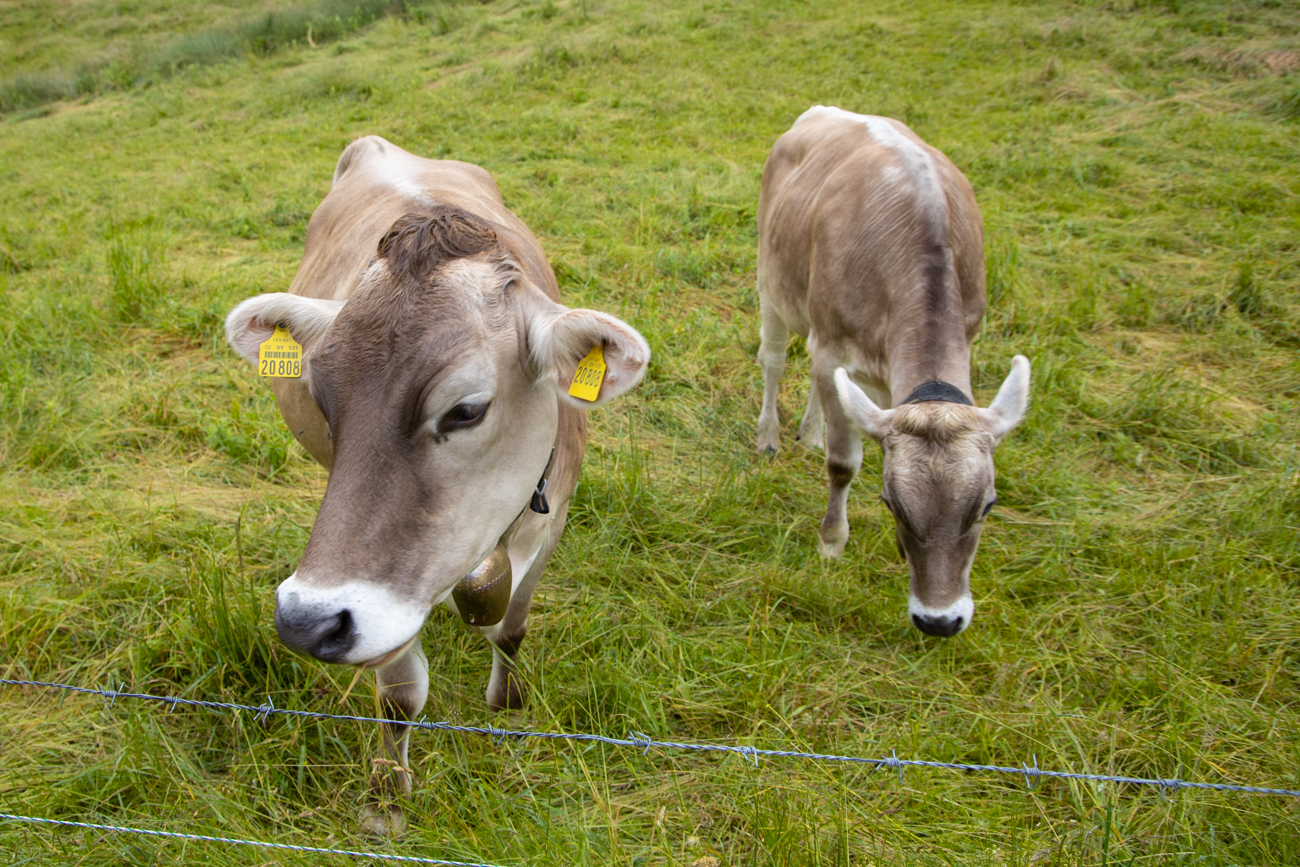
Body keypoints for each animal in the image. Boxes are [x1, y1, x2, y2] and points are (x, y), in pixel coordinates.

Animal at [227, 137, 650, 831]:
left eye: (467, 410)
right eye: (320, 398)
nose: (305, 622)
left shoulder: (553, 518)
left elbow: (512, 627)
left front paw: (507, 705)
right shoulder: (388, 601)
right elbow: (400, 694)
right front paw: (386, 800)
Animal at [759, 106, 1029, 636]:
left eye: (987, 505)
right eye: (891, 502)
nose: (940, 620)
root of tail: (827, 110)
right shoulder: (833, 349)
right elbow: (844, 464)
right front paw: (831, 542)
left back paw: (810, 432)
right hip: (770, 280)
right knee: (775, 361)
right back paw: (770, 435)